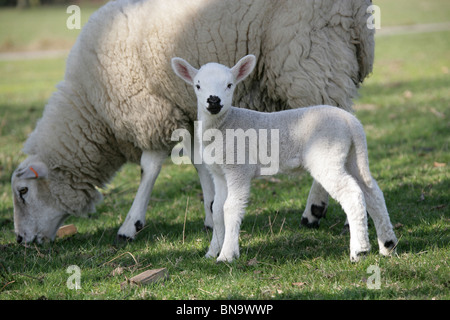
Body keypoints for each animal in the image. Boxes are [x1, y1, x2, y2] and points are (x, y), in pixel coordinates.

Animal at [12, 0, 374, 244]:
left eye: (23, 191)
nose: (19, 241)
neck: (92, 110)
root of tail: (356, 11)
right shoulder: (185, 113)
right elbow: (200, 162)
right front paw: (212, 213)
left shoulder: (152, 110)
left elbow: (150, 168)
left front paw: (131, 224)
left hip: (309, 61)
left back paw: (316, 210)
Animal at [172, 55, 398, 262]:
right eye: (198, 85)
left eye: (229, 85)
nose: (214, 101)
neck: (224, 124)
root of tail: (351, 121)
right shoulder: (220, 173)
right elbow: (217, 209)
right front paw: (211, 252)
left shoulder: (239, 168)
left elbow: (231, 207)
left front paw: (227, 255)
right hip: (351, 155)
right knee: (372, 191)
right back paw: (387, 245)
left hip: (327, 154)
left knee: (351, 193)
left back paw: (359, 251)